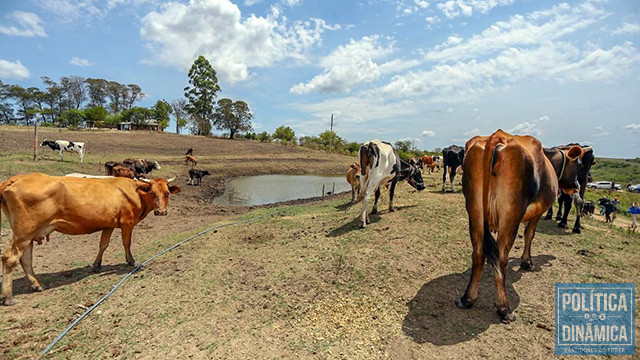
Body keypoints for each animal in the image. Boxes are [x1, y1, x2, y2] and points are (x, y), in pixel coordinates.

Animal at [0, 173, 180, 306]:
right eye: (152, 193)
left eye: (167, 193)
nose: (161, 212)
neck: (135, 192)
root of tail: (17, 178)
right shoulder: (127, 223)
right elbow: (126, 243)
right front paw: (131, 261)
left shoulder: (108, 224)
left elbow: (103, 244)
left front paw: (96, 265)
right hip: (25, 232)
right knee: (10, 258)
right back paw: (8, 297)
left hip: (28, 233)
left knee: (26, 259)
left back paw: (36, 284)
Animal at [456, 129, 584, 324]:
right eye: (577, 165)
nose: (576, 186)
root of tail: (497, 137)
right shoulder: (538, 211)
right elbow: (530, 234)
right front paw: (527, 262)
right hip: (510, 215)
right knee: (501, 257)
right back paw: (504, 308)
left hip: (475, 211)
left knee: (478, 253)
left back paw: (467, 298)